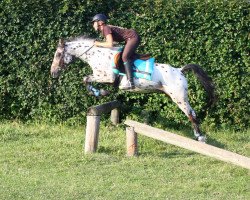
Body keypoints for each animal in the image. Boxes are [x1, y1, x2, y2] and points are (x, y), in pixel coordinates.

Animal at [50, 36, 215, 142]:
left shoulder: (106, 77)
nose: (53, 73)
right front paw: (99, 92)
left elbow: (85, 79)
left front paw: (100, 92)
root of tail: (180, 70)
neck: (98, 55)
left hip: (179, 98)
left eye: (58, 54)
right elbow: (86, 80)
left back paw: (200, 137)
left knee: (191, 114)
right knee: (192, 113)